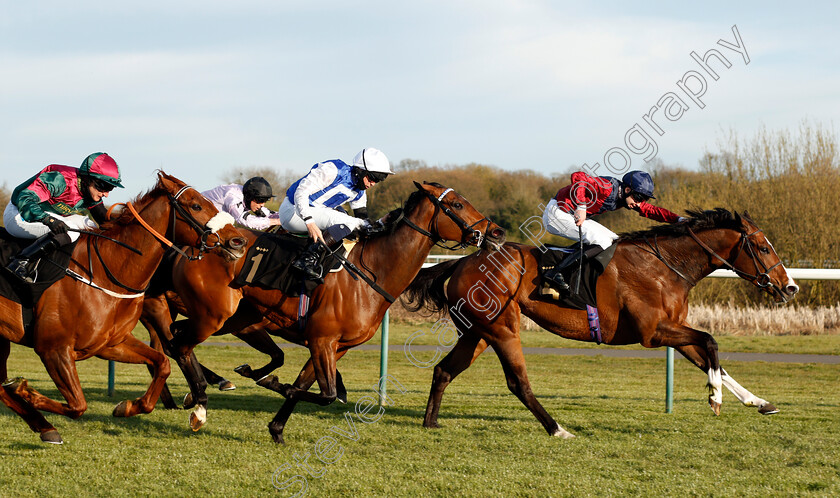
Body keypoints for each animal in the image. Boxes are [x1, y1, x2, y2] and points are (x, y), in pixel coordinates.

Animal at [0, 171, 248, 444]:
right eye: (196, 206)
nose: (238, 241)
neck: (104, 270)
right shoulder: (53, 349)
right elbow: (78, 405)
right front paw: (23, 389)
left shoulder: (110, 343)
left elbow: (162, 363)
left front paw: (128, 407)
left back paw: (44, 426)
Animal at [156, 181, 506, 442]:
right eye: (457, 205)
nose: (497, 233)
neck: (371, 272)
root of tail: (193, 245)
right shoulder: (322, 339)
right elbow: (324, 394)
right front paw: (275, 385)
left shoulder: (335, 347)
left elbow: (308, 387)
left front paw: (276, 428)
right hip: (213, 315)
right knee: (179, 344)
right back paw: (199, 405)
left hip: (234, 318)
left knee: (175, 338)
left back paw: (201, 391)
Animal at [404, 208, 796, 438]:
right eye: (763, 248)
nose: (789, 286)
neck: (664, 267)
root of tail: (463, 261)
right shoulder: (653, 333)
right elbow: (711, 341)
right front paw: (714, 397)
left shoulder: (674, 331)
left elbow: (713, 358)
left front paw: (758, 401)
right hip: (501, 328)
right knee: (517, 382)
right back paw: (557, 429)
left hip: (477, 332)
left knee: (444, 370)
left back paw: (430, 422)